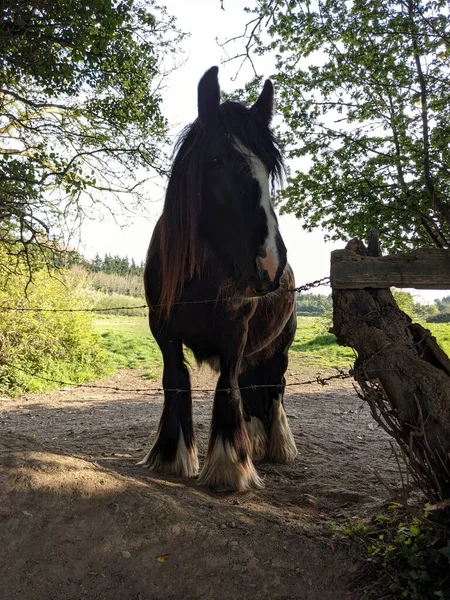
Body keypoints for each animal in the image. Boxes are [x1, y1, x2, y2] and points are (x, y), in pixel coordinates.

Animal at [139, 65, 298, 490]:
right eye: (214, 160)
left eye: (269, 167)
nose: (270, 264)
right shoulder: (163, 330)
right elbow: (176, 381)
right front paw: (171, 457)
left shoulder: (235, 333)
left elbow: (227, 390)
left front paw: (229, 468)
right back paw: (256, 440)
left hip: (280, 346)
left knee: (274, 388)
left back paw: (279, 445)